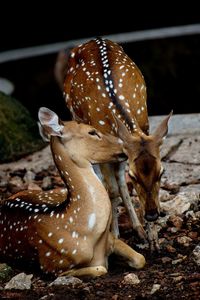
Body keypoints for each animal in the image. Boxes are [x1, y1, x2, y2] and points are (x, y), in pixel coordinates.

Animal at [0, 107, 145, 276]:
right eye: (92, 132)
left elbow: (140, 258)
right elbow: (101, 269)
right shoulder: (54, 266)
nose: (126, 145)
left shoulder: (110, 240)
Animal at [55, 37, 172, 250]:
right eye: (133, 176)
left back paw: (138, 229)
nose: (152, 215)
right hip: (76, 117)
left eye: (161, 172)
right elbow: (112, 190)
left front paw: (153, 239)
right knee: (105, 181)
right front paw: (115, 237)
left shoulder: (144, 127)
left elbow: (121, 185)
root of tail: (92, 40)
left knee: (119, 180)